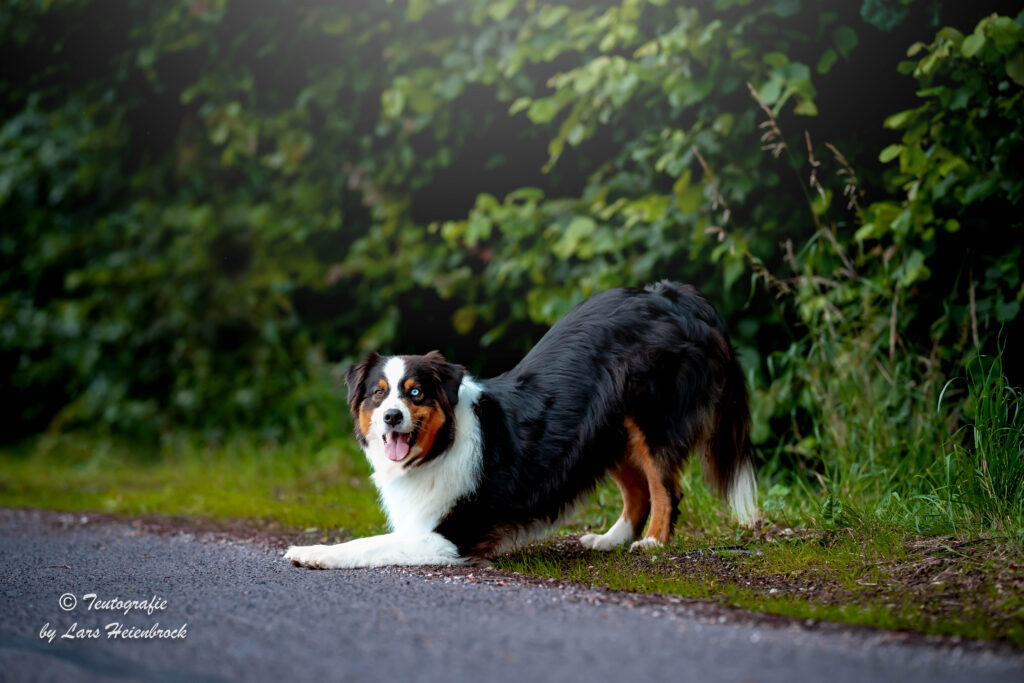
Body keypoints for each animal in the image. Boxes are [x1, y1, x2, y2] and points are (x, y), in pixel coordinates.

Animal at [284, 280, 757, 569]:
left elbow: (368, 544)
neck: (440, 445)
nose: (391, 417)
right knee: (638, 490)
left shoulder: (448, 535)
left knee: (665, 489)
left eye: (415, 393)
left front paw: (313, 552)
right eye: (379, 394)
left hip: (650, 420)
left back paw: (653, 543)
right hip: (604, 429)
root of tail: (671, 295)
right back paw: (610, 540)